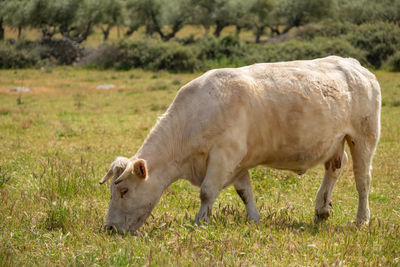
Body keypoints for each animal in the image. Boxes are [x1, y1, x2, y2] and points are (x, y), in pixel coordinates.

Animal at [98, 56, 380, 234]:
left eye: (123, 191)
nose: (109, 228)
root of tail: (353, 64)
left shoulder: (224, 154)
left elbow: (207, 192)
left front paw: (199, 223)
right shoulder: (238, 162)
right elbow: (245, 192)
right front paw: (255, 219)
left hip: (364, 136)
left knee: (362, 180)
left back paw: (362, 220)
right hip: (335, 141)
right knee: (334, 169)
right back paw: (321, 210)